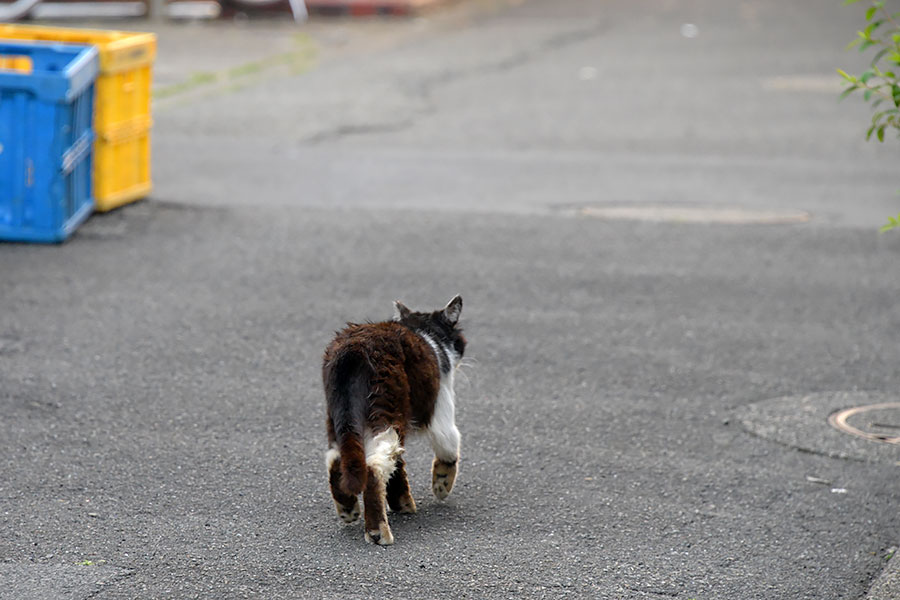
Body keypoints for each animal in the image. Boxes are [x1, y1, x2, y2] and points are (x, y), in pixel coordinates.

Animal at [322, 292, 464, 548]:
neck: (424, 331)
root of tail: (352, 352)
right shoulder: (441, 403)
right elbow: (448, 443)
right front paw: (441, 485)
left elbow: (398, 465)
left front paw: (401, 503)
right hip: (387, 413)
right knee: (375, 467)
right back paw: (378, 532)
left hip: (340, 417)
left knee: (337, 458)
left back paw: (348, 509)